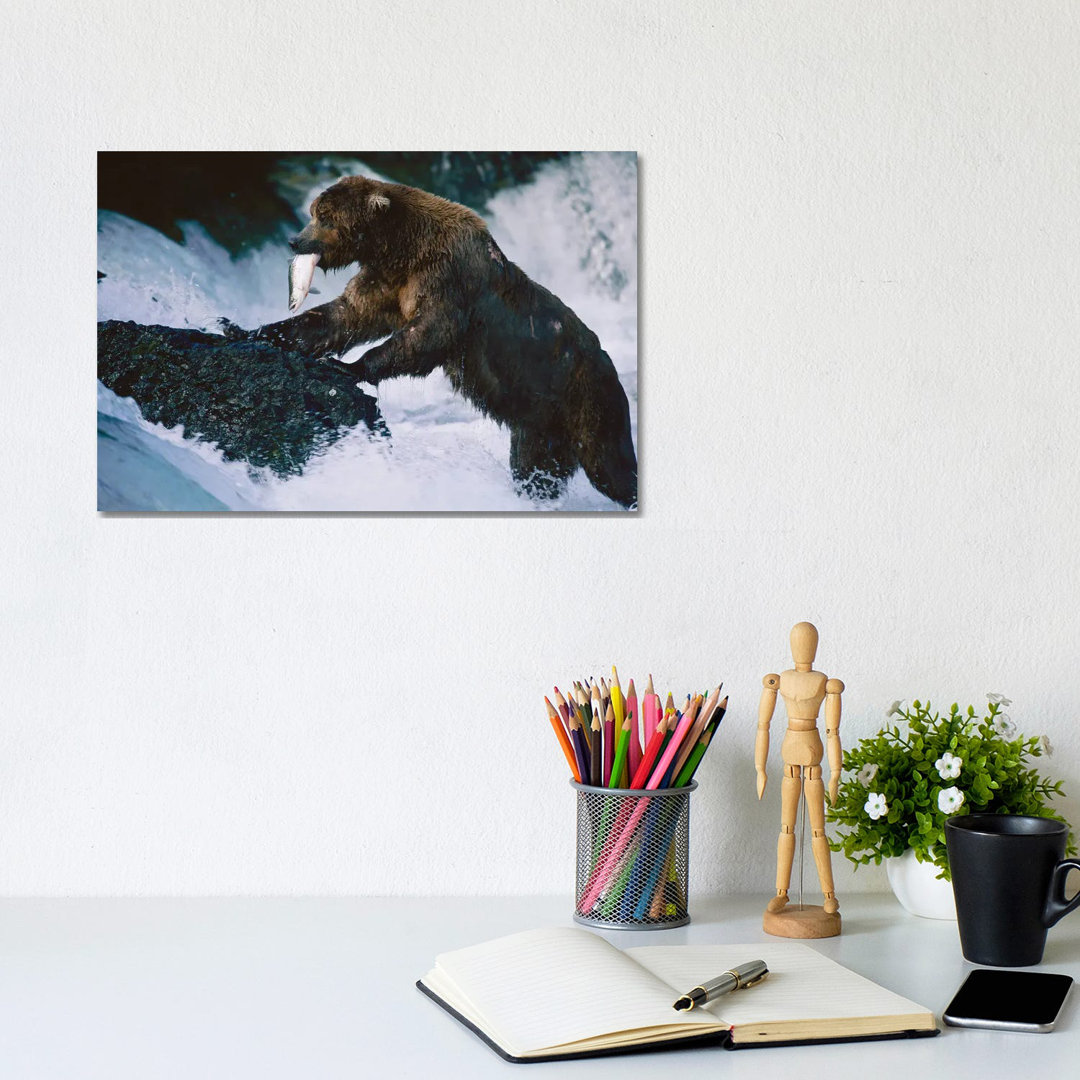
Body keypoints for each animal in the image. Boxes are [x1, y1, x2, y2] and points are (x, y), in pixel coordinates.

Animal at [225, 178, 630, 509]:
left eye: (324, 216)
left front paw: (348, 366)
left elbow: (428, 334)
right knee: (534, 469)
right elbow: (341, 317)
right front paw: (244, 328)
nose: (295, 239)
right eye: (314, 212)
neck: (399, 247)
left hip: (587, 400)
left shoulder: (445, 277)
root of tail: (610, 366)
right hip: (538, 424)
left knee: (610, 465)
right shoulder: (387, 280)